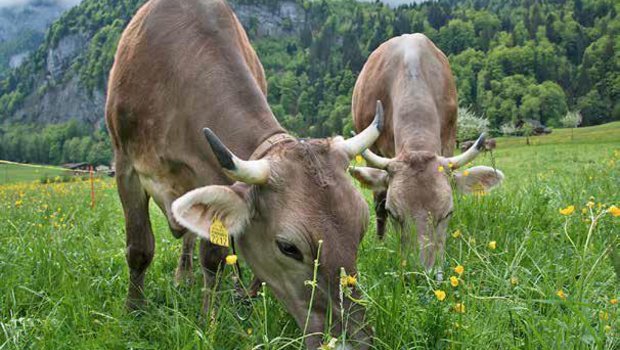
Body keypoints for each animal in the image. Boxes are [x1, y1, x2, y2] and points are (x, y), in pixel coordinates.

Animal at [104, 0, 382, 348]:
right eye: (288, 248)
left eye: (360, 230)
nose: (352, 341)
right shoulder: (125, 163)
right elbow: (139, 248)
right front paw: (135, 311)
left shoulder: (210, 172)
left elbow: (214, 257)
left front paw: (211, 319)